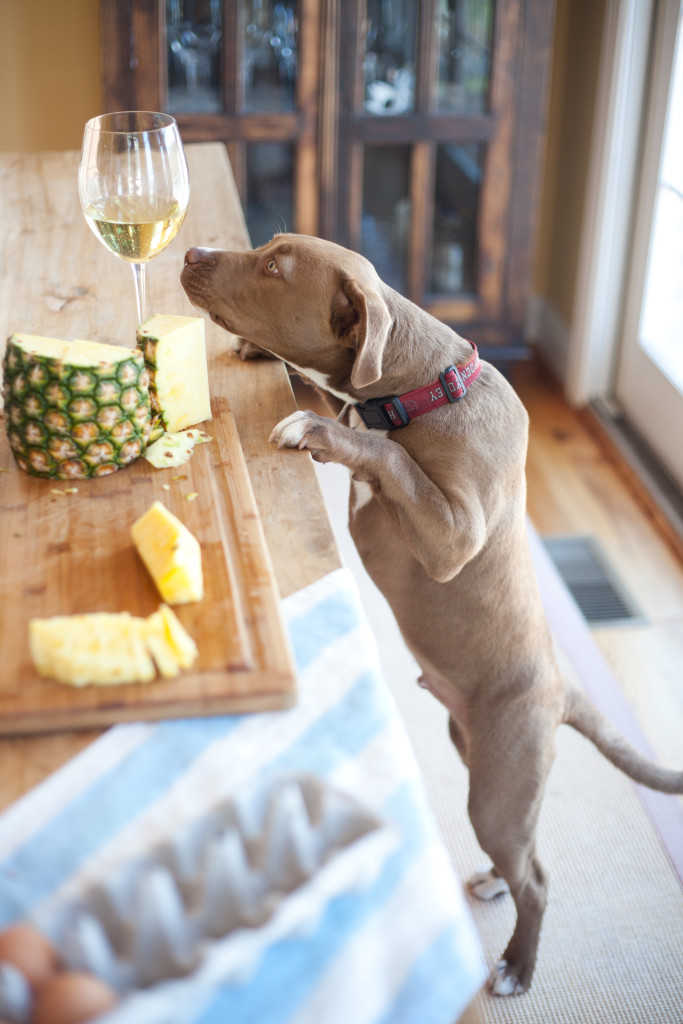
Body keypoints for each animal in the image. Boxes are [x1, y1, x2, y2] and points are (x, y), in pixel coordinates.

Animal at [181, 232, 683, 991]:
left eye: (273, 267)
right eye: (266, 247)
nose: (191, 252)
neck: (419, 391)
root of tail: (562, 690)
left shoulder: (453, 534)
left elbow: (388, 457)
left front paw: (316, 428)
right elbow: (339, 402)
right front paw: (269, 361)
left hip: (498, 785)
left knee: (537, 880)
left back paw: (516, 965)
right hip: (478, 758)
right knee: (525, 857)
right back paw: (497, 885)